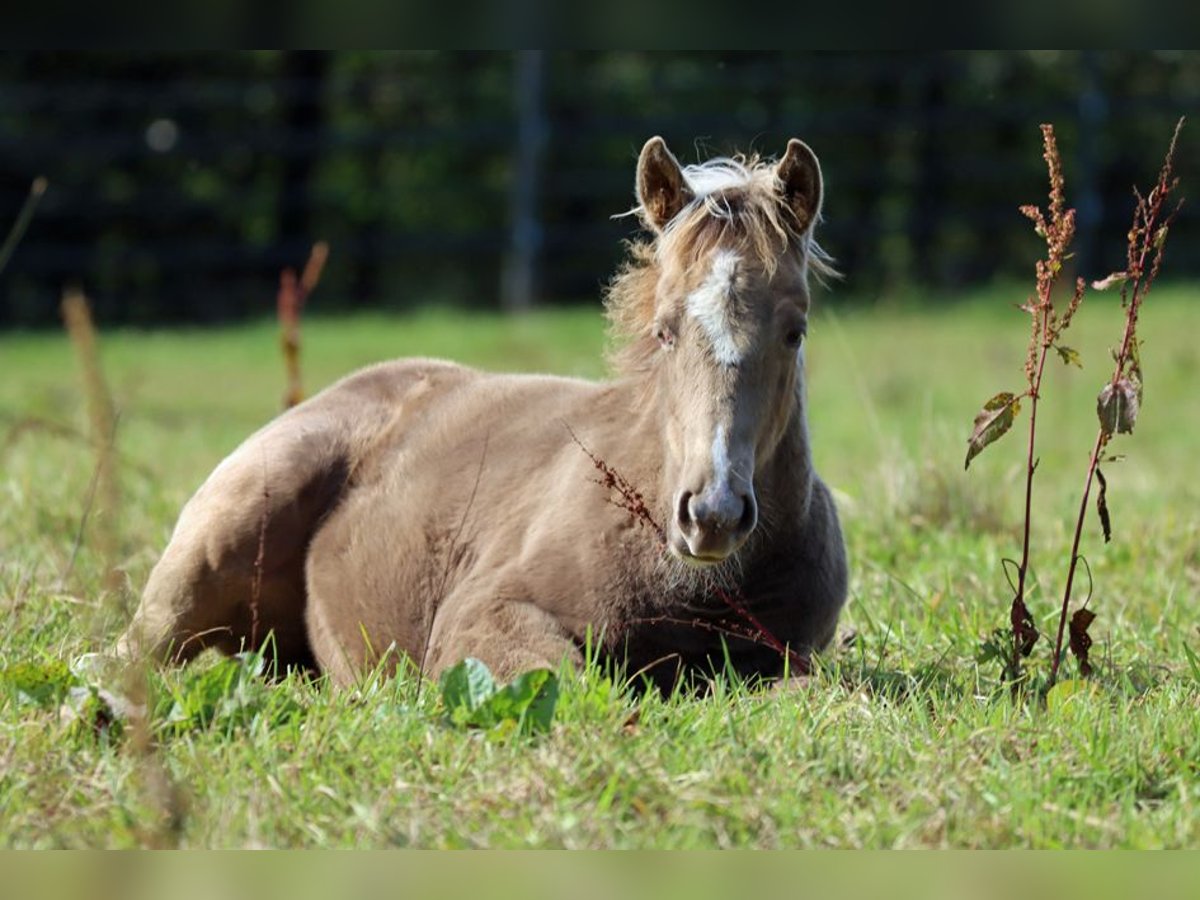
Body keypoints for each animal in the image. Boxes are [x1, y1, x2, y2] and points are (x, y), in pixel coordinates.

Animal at [118, 136, 848, 691]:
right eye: (665, 330)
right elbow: (573, 682)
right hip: (213, 548)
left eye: (795, 332)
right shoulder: (482, 613)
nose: (713, 514)